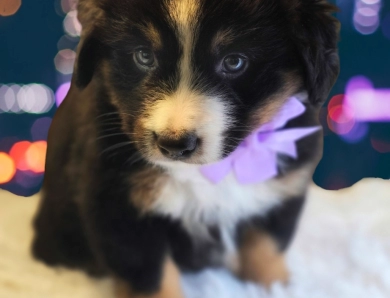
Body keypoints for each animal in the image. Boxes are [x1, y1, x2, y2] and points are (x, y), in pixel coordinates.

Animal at [32, 1, 340, 296]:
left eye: (234, 62)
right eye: (144, 56)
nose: (174, 144)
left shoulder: (284, 187)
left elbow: (266, 246)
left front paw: (274, 286)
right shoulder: (117, 203)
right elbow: (150, 277)